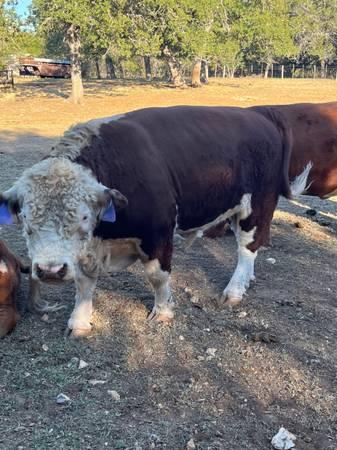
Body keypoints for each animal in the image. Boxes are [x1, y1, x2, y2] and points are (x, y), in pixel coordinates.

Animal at [0, 106, 310, 338]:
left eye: (84, 216)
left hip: (256, 205)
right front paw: (79, 322)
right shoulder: (89, 250)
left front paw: (162, 312)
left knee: (247, 248)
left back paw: (234, 290)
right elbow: (85, 282)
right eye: (25, 218)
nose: (50, 270)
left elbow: (157, 276)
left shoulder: (158, 232)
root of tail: (259, 116)